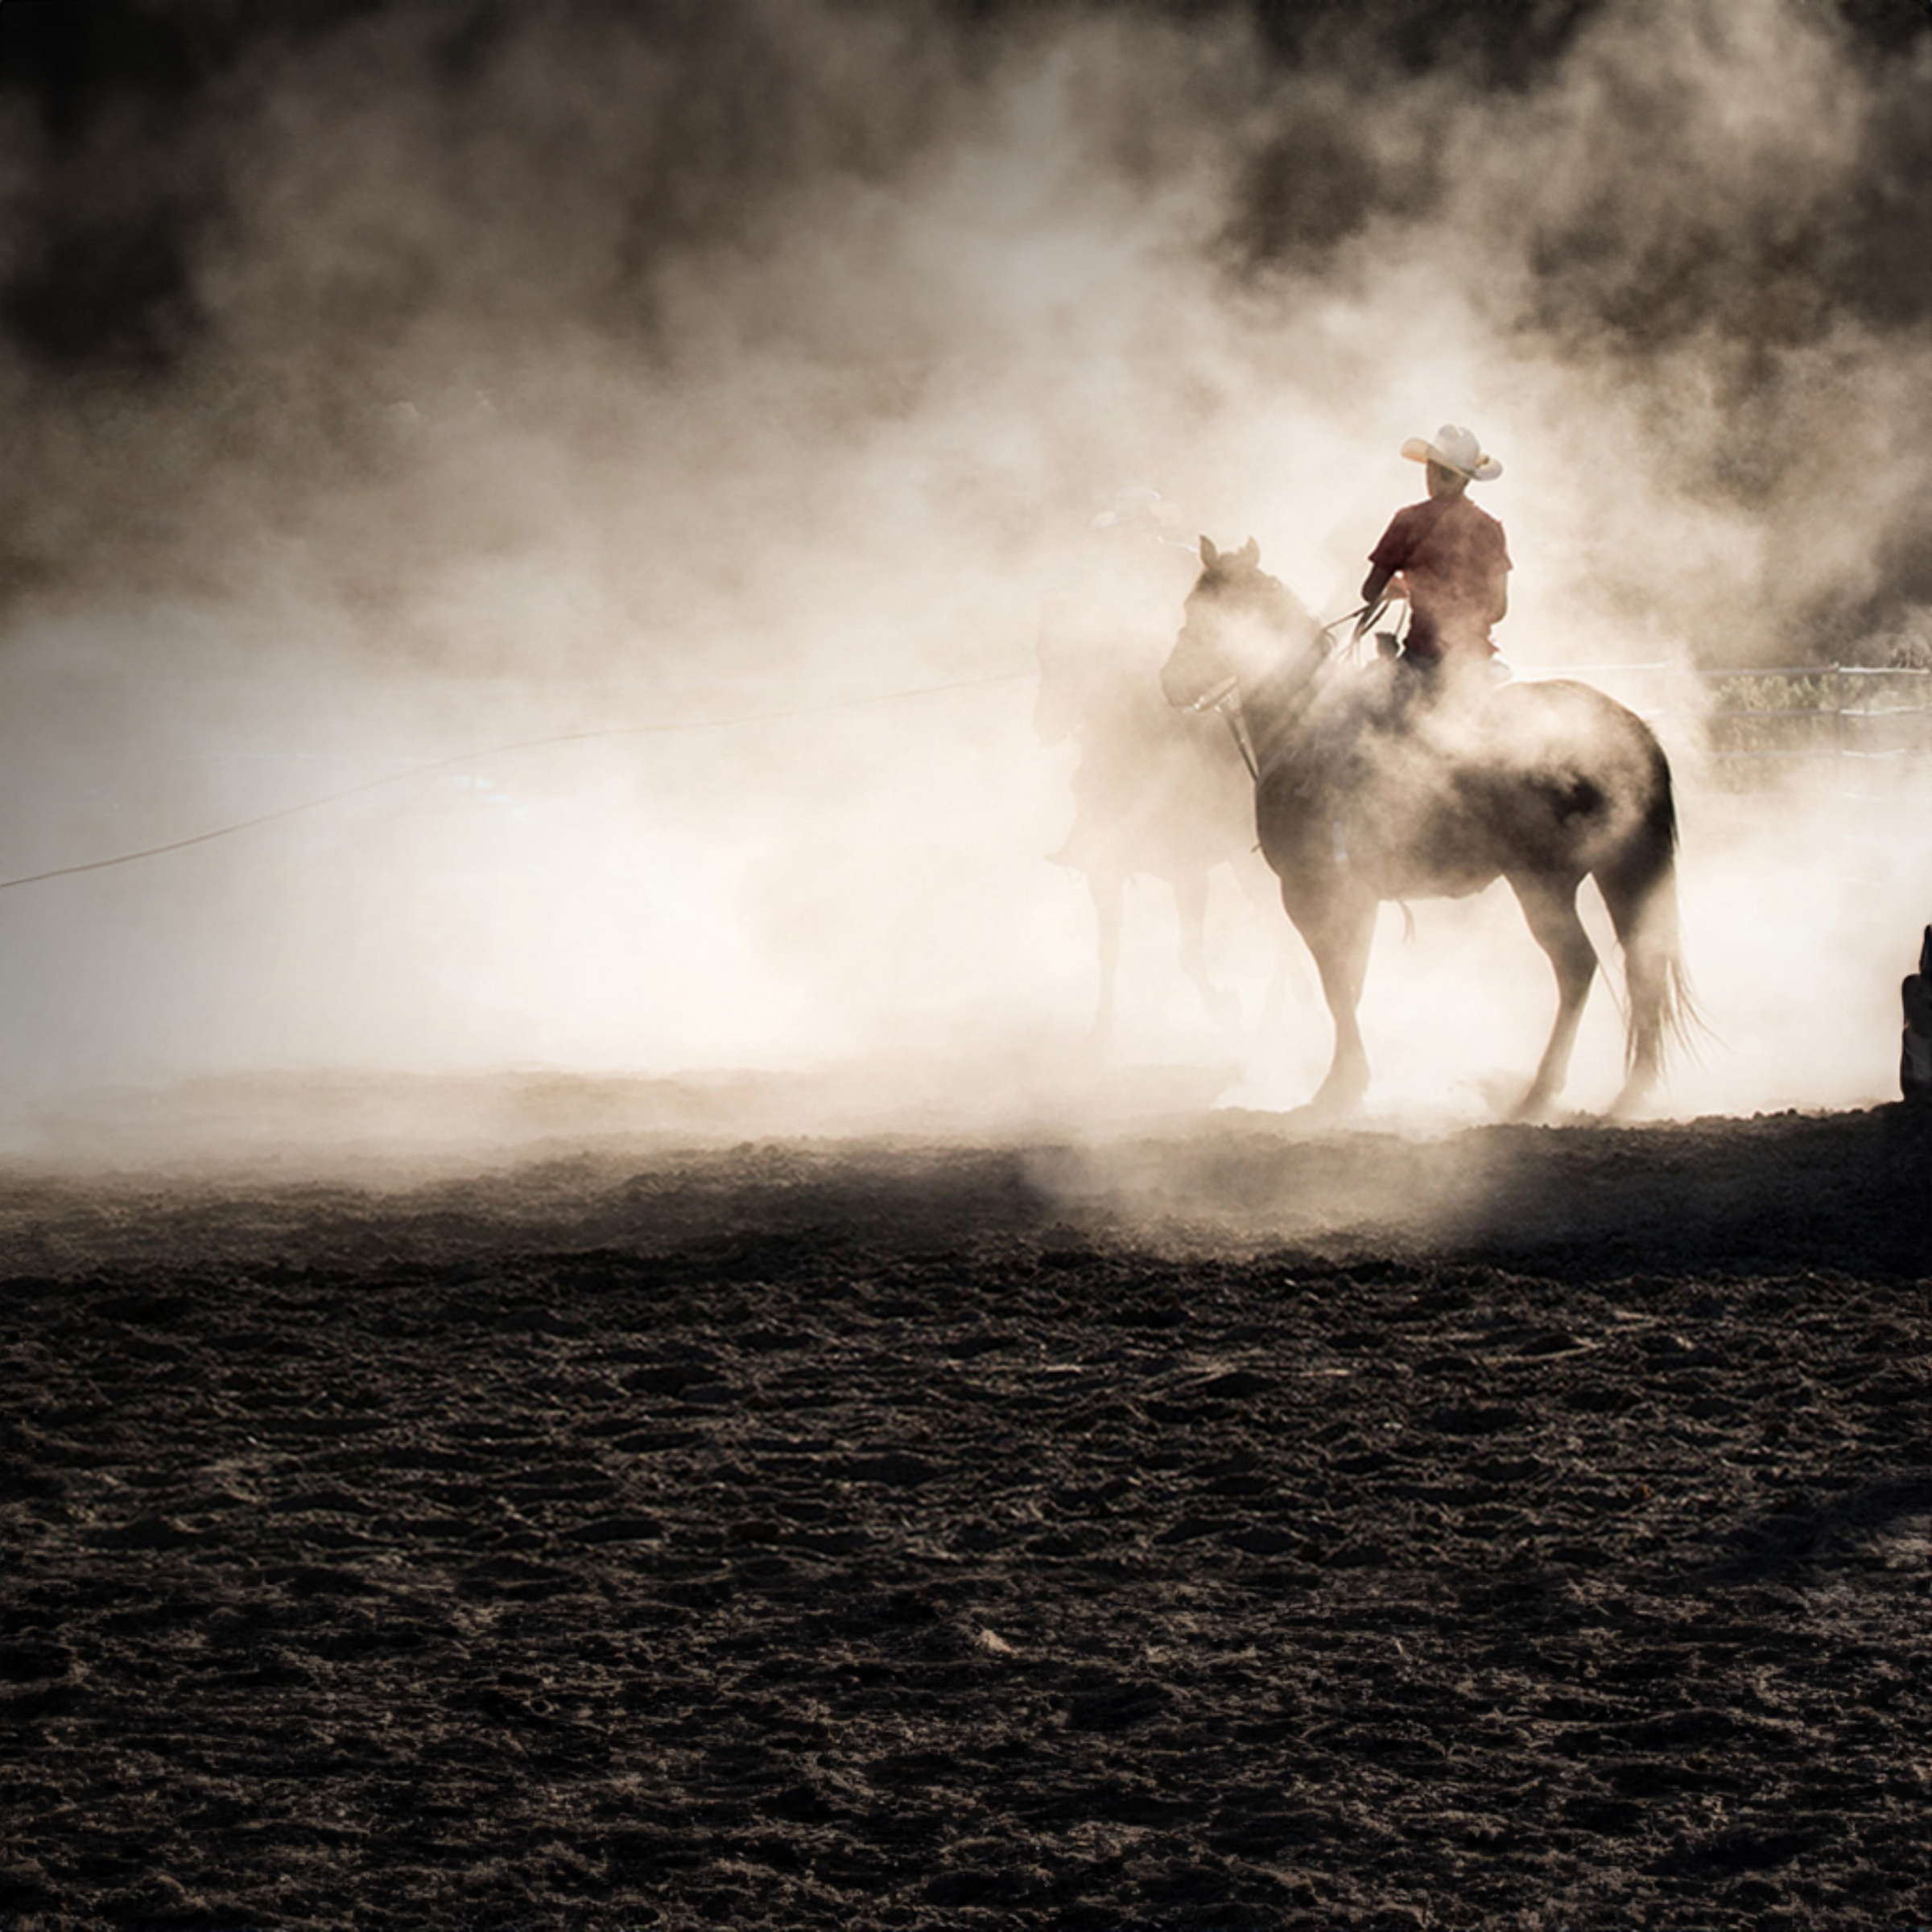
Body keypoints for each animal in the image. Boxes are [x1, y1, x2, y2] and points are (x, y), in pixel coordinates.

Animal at [1160, 535, 1693, 1117]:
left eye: (1200, 613)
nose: (1171, 682)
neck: (1305, 717)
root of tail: (1631, 728)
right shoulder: (1358, 895)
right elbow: (1351, 981)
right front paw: (1348, 1081)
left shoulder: (1311, 889)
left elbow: (1335, 982)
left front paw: (1338, 1086)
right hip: (1621, 869)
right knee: (1644, 960)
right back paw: (1631, 1092)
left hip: (1542, 881)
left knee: (1575, 966)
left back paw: (1540, 1092)